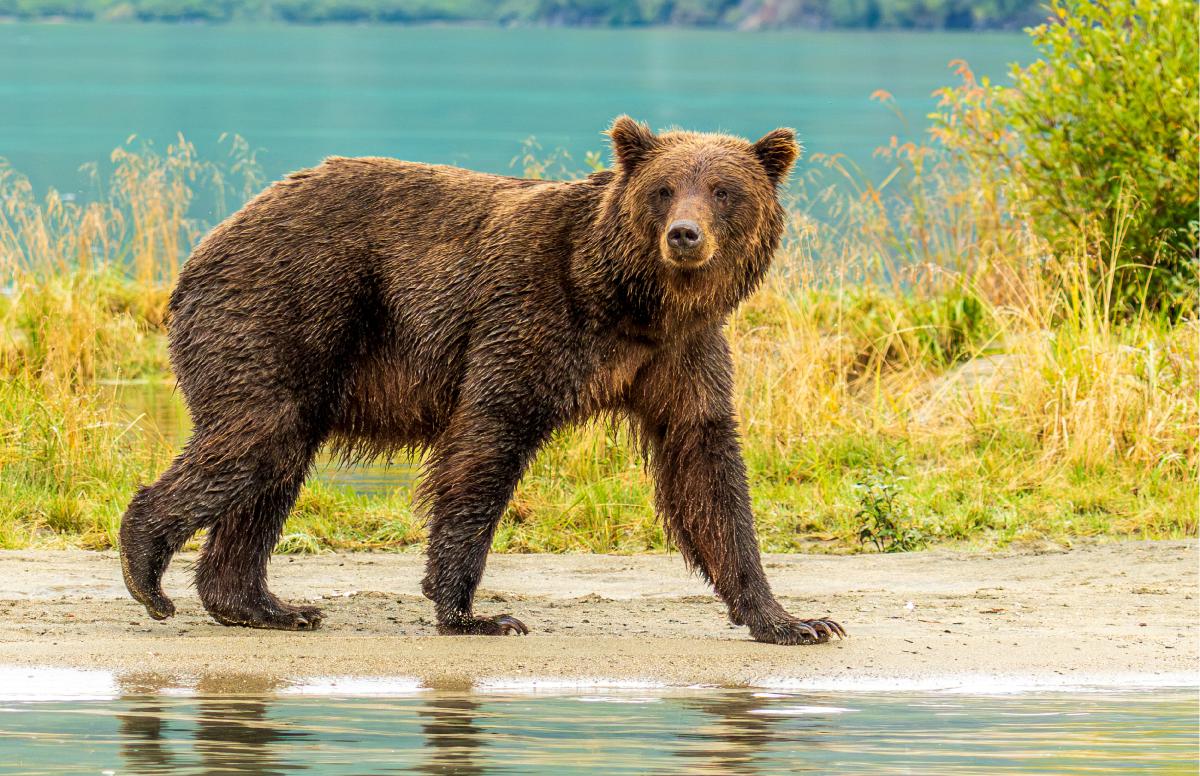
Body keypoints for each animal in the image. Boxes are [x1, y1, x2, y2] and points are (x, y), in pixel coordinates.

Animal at [118, 116, 844, 645]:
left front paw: (794, 619)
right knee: (254, 437)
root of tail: (207, 242)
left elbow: (707, 470)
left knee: (275, 462)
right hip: (282, 310)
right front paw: (475, 612)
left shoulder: (680, 358)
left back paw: (264, 604)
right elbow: (486, 444)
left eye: (724, 190)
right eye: (664, 189)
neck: (631, 303)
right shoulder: (530, 317)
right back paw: (148, 569)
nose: (685, 235)